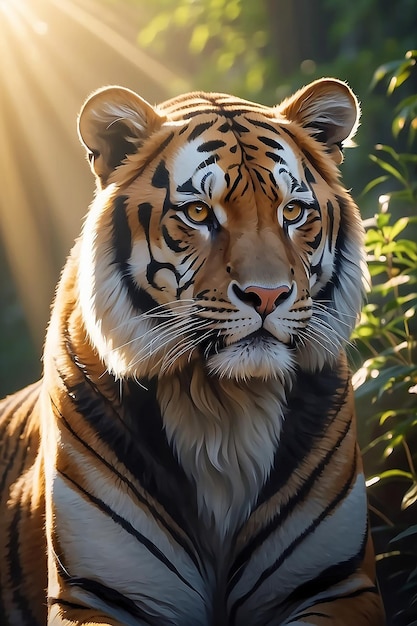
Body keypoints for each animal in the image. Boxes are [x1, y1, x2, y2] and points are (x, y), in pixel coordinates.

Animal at [0, 79, 384, 624]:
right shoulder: (95, 595)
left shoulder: (337, 585)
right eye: (199, 213)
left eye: (292, 212)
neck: (223, 408)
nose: (267, 295)